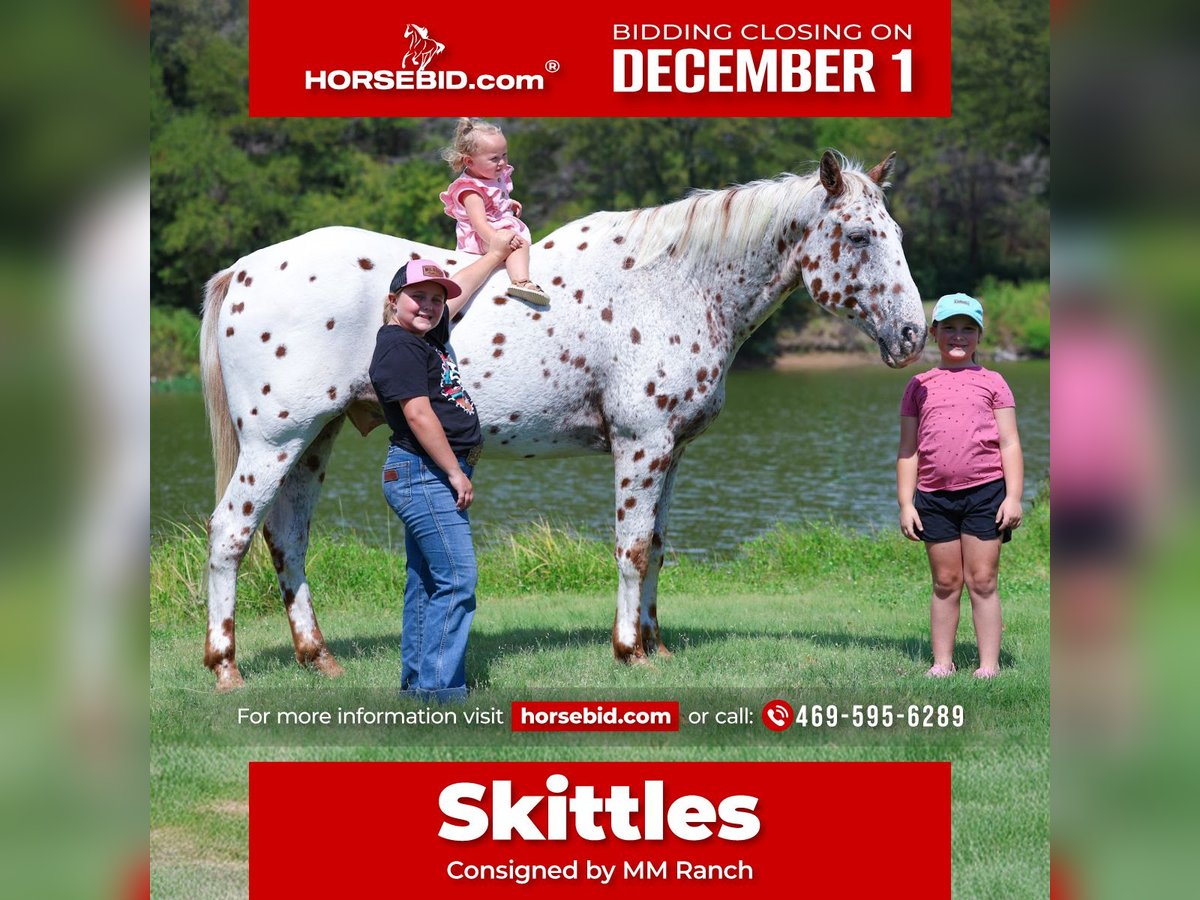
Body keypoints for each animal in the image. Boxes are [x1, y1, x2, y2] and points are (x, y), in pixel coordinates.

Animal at [199, 150, 927, 691]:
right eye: (858, 236)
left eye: (896, 234)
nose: (913, 335)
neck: (673, 285)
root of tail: (242, 270)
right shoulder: (641, 445)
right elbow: (632, 549)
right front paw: (628, 650)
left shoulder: (673, 451)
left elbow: (658, 545)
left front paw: (656, 646)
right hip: (275, 440)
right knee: (232, 533)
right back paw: (225, 666)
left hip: (312, 441)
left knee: (287, 539)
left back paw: (316, 656)